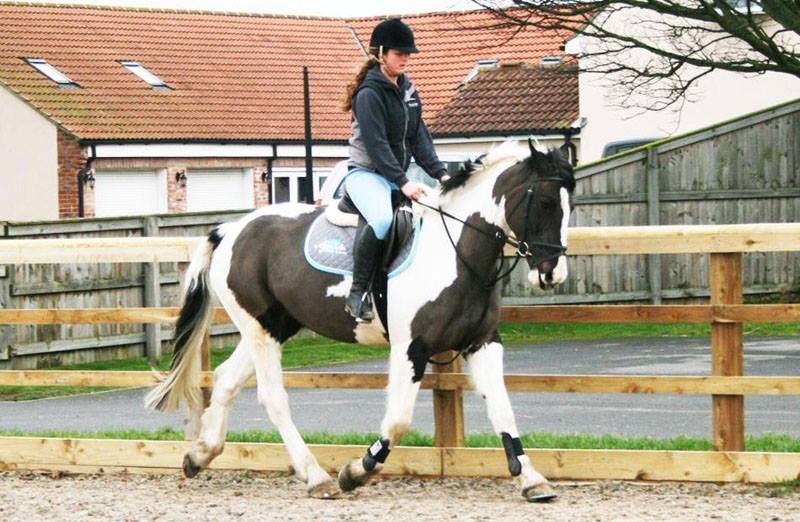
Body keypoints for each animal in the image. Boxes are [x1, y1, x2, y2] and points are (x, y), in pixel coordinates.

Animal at [145, 138, 576, 500]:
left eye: (569, 204)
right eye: (546, 203)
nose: (552, 273)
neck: (455, 252)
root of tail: (231, 229)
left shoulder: (481, 343)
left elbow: (502, 408)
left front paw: (532, 480)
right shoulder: (411, 348)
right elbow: (398, 420)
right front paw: (356, 471)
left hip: (273, 327)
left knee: (226, 380)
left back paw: (199, 455)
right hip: (259, 328)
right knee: (272, 397)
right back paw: (316, 477)